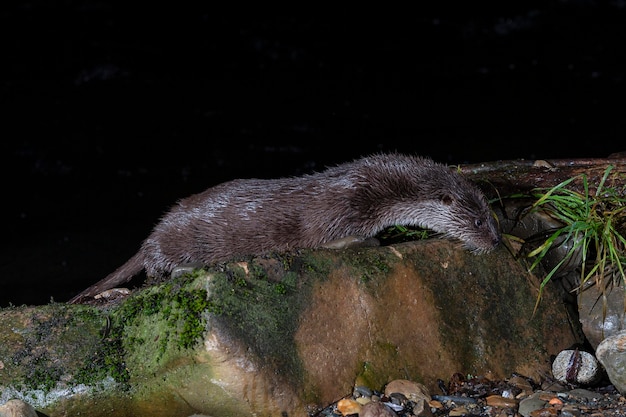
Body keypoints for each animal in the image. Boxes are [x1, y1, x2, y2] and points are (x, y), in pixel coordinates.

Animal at [68, 153, 500, 302]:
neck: (377, 190)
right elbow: (328, 235)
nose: (496, 242)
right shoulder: (340, 207)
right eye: (477, 221)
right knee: (155, 267)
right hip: (175, 242)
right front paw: (363, 241)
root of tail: (154, 233)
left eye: (494, 217)